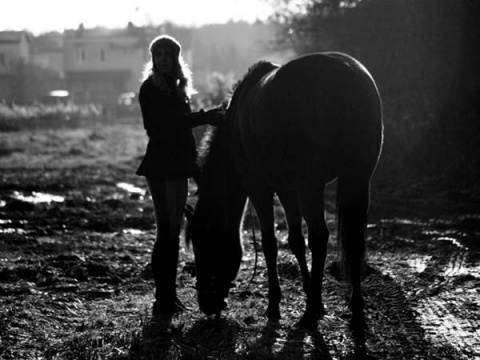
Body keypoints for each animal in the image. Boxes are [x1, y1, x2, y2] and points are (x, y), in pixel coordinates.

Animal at [187, 52, 382, 328]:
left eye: (204, 240)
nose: (207, 304)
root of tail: (347, 73)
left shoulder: (260, 189)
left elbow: (270, 243)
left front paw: (275, 305)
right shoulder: (287, 189)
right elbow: (295, 241)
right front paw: (313, 295)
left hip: (311, 185)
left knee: (320, 238)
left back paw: (309, 315)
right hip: (357, 178)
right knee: (354, 240)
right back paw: (355, 308)